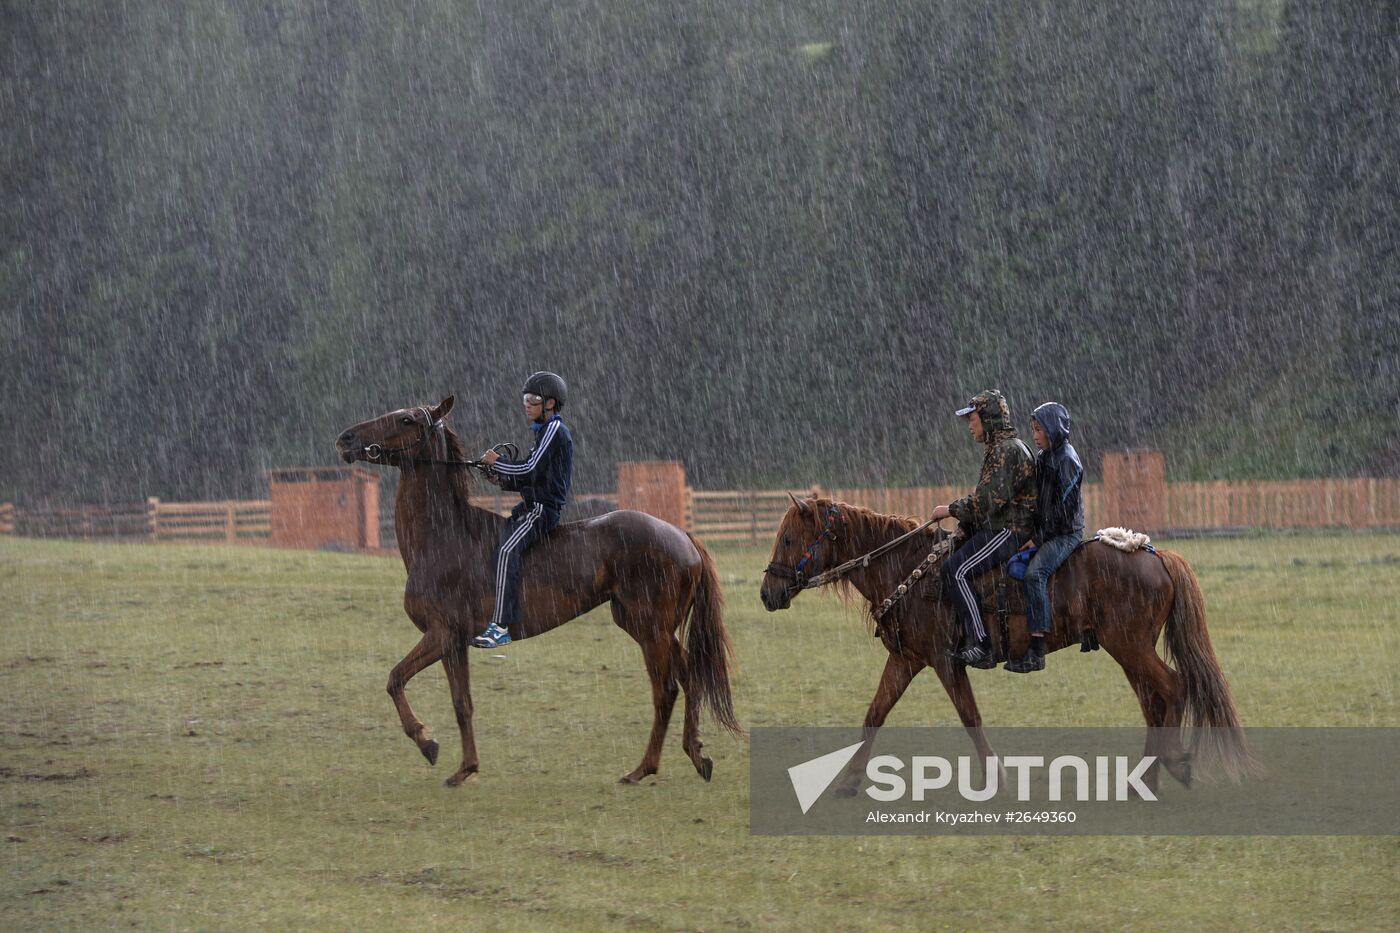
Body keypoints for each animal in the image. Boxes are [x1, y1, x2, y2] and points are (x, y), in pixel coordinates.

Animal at [337, 395, 744, 784]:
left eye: (406, 419)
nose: (346, 439)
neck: (444, 537)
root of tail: (681, 535)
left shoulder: (442, 635)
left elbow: (395, 679)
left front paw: (427, 742)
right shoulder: (453, 644)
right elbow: (461, 702)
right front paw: (465, 768)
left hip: (651, 631)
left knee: (665, 690)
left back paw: (642, 769)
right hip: (646, 627)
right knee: (689, 675)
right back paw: (697, 755)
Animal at [761, 493, 1254, 790]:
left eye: (788, 538)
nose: (768, 593)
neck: (909, 571)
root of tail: (1155, 553)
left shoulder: (945, 661)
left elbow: (970, 717)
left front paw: (996, 778)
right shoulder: (906, 660)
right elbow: (875, 714)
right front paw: (848, 781)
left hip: (1130, 646)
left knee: (1173, 687)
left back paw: (1176, 764)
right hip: (1128, 650)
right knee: (1154, 703)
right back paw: (1144, 782)